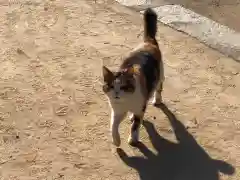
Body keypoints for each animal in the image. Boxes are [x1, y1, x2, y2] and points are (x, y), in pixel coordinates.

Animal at [102, 7, 164, 147]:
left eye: (123, 87)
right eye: (111, 86)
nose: (116, 94)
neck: (126, 101)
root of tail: (148, 42)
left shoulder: (139, 107)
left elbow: (135, 125)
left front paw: (133, 139)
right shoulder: (117, 111)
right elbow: (113, 126)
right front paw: (116, 140)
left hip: (159, 75)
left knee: (158, 88)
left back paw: (157, 99)